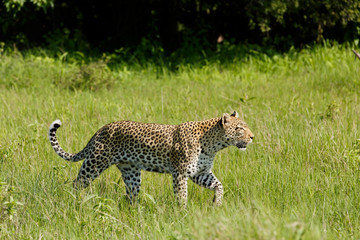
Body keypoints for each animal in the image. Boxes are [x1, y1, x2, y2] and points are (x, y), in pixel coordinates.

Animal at [48, 111, 253, 205]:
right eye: (239, 128)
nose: (252, 137)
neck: (213, 145)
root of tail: (101, 129)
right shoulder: (180, 173)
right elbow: (182, 195)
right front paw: (183, 213)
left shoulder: (199, 173)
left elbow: (219, 185)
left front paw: (216, 203)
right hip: (95, 163)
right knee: (77, 183)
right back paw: (74, 201)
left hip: (131, 172)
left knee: (131, 195)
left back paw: (135, 212)